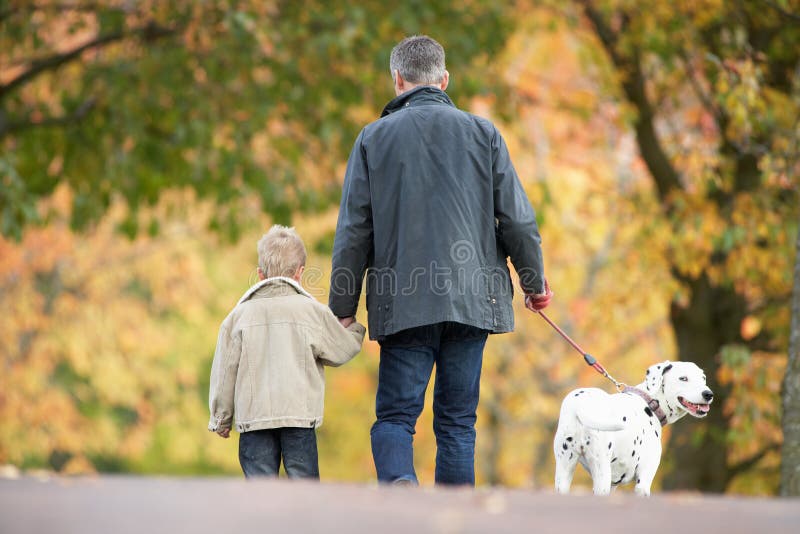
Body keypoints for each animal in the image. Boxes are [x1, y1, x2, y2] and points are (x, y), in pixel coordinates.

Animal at [556, 362, 712, 496]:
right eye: (683, 378)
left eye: (703, 378)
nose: (708, 394)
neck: (650, 403)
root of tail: (579, 404)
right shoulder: (643, 482)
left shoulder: (613, 484)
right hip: (601, 475)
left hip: (564, 473)